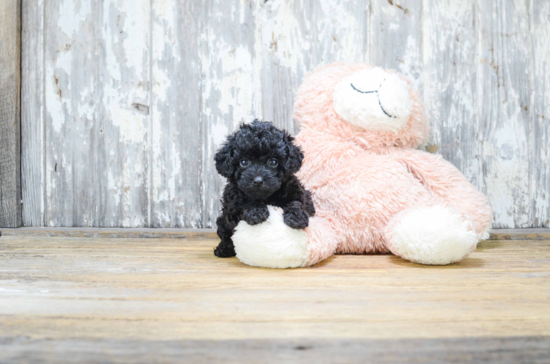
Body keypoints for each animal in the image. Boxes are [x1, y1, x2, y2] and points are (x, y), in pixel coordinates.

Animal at [215, 119, 316, 256]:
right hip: (222, 220)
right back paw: (224, 248)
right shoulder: (233, 204)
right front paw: (256, 212)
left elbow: (296, 202)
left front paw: (297, 217)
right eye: (244, 162)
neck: (266, 197)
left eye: (273, 162)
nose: (258, 181)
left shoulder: (297, 191)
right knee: (226, 234)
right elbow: (245, 202)